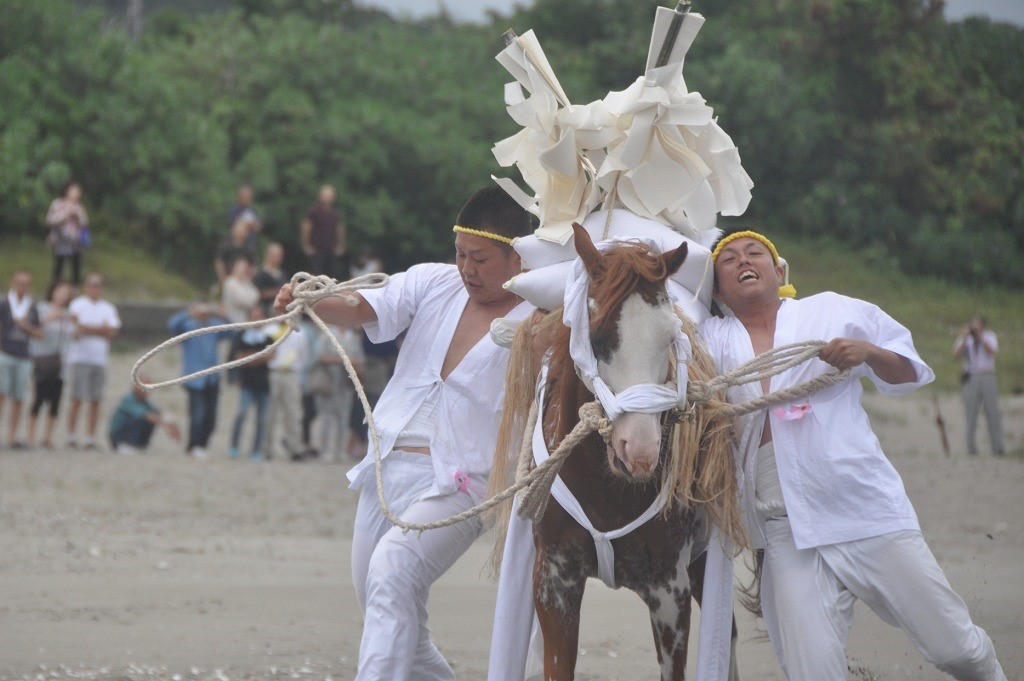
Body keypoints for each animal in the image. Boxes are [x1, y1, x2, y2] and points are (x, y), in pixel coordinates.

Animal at [489, 225, 745, 679]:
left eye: (670, 338)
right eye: (597, 337)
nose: (639, 450)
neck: (605, 488)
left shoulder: (669, 591)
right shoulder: (554, 582)